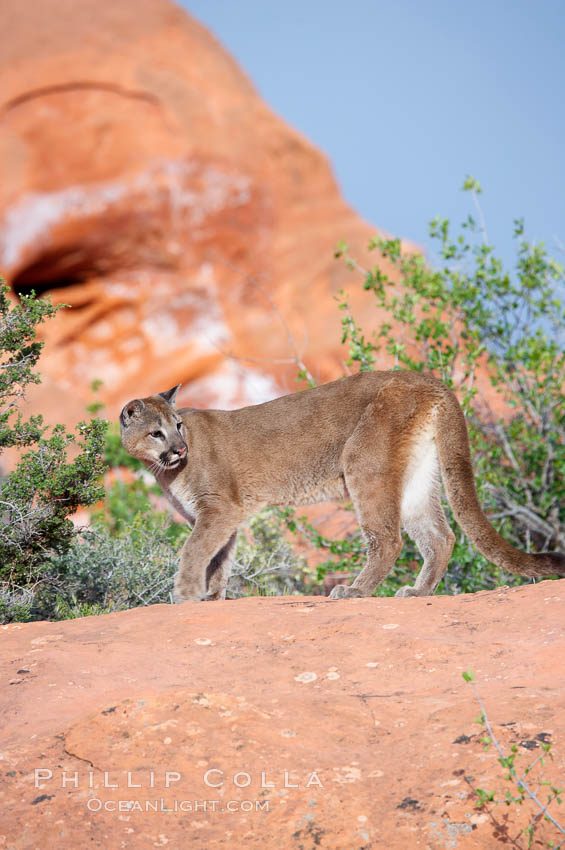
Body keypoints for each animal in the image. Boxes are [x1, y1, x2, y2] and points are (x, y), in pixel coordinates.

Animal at [119, 372, 564, 604]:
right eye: (158, 432)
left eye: (178, 426)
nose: (180, 448)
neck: (164, 470)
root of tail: (427, 377)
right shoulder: (225, 516)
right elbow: (218, 559)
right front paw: (210, 598)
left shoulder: (219, 509)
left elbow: (195, 550)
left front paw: (184, 595)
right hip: (417, 476)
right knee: (441, 536)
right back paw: (418, 592)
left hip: (365, 464)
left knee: (388, 539)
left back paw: (355, 591)